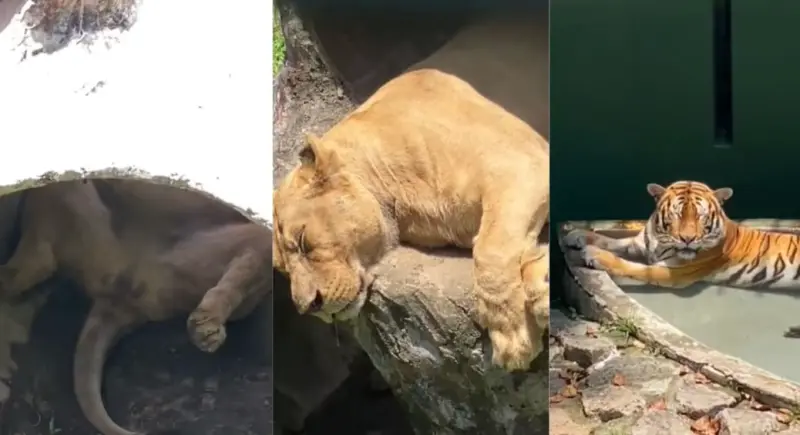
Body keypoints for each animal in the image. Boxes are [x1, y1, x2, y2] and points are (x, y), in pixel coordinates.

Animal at [274, 68, 552, 372]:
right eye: (283, 271)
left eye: (303, 241)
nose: (309, 307)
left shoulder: (521, 162)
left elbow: (492, 251)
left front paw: (514, 338)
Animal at [564, 181, 800, 338]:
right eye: (677, 214)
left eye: (701, 215)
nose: (688, 239)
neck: (660, 239)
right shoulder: (638, 244)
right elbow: (610, 240)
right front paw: (576, 235)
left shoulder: (674, 272)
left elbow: (631, 266)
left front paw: (593, 254)